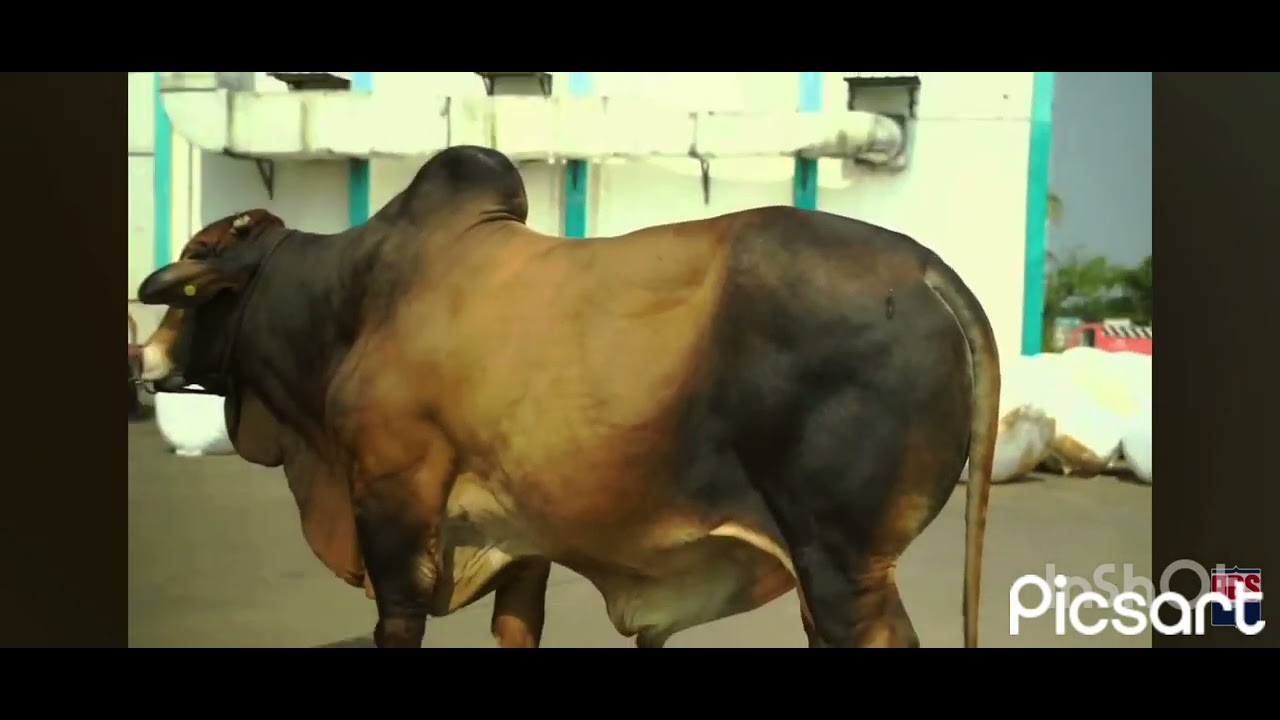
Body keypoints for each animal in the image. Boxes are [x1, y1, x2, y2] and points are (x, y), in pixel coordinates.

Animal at [131, 145, 999, 649]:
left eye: (200, 264)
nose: (143, 356)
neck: (350, 301)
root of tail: (923, 268)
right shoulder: (521, 539)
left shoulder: (392, 505)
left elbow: (397, 622)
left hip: (844, 568)